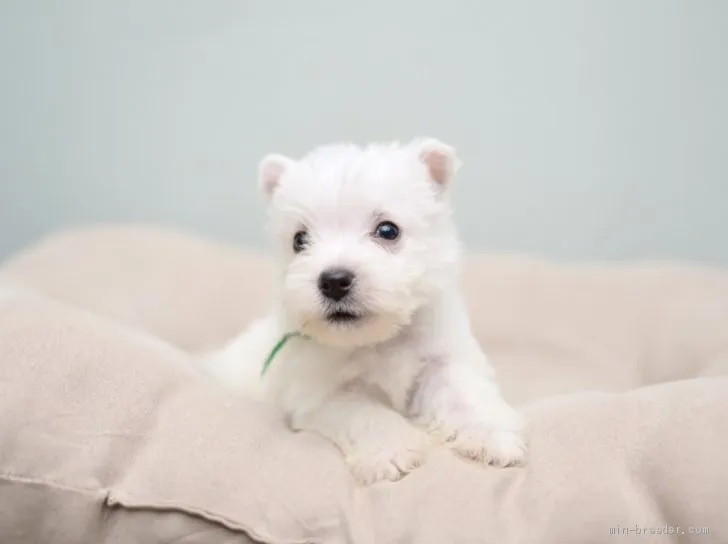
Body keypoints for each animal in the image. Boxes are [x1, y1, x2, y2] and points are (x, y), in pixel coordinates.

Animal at [208, 137, 528, 484]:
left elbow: (465, 396)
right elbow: (366, 413)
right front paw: (394, 454)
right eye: (299, 240)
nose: (334, 281)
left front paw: (493, 437)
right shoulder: (321, 393)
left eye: (388, 230)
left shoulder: (443, 359)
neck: (379, 339)